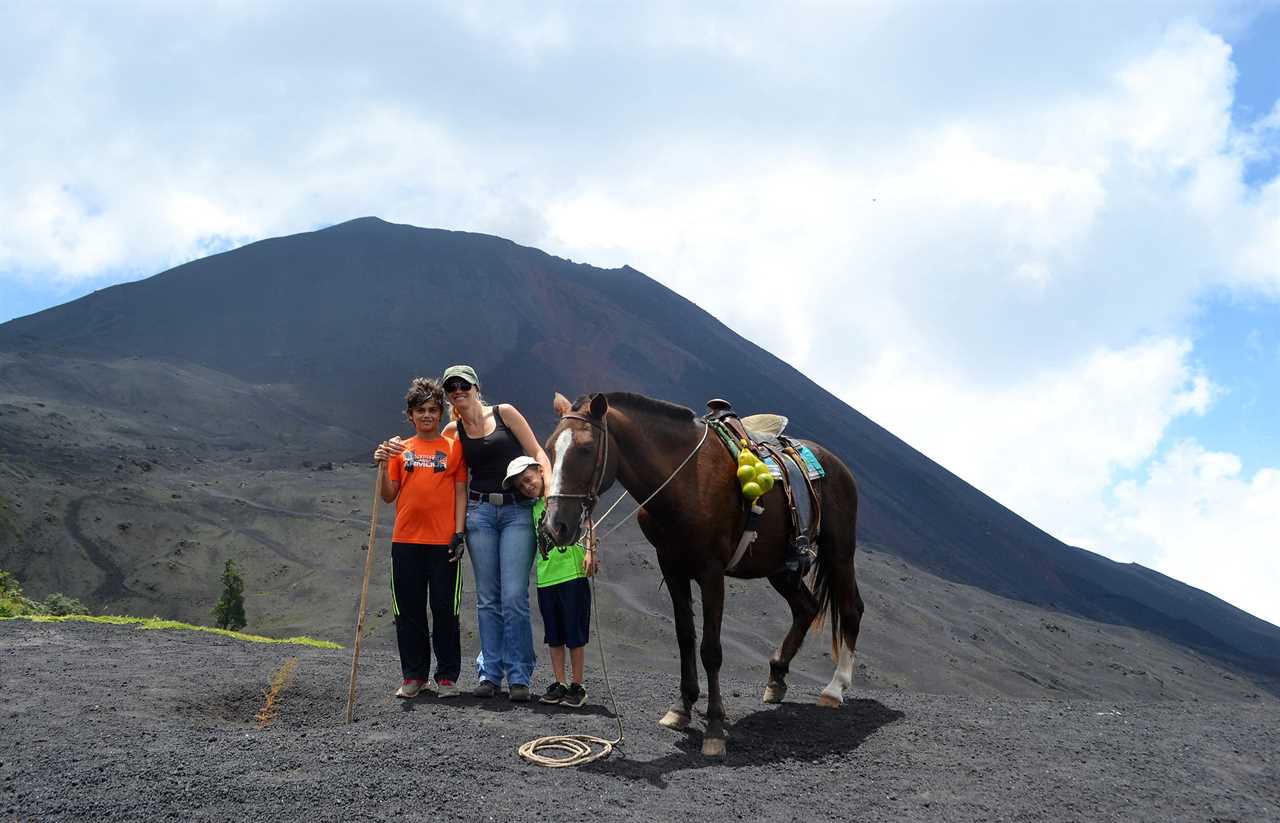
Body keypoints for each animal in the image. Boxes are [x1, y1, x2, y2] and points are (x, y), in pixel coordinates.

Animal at [545, 391, 865, 757]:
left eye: (585, 449)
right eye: (551, 447)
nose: (555, 526)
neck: (684, 480)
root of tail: (838, 466)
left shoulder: (711, 574)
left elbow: (711, 649)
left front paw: (714, 727)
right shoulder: (672, 567)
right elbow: (685, 637)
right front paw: (681, 708)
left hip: (839, 552)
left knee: (851, 609)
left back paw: (834, 689)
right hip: (778, 567)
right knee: (806, 608)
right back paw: (776, 677)